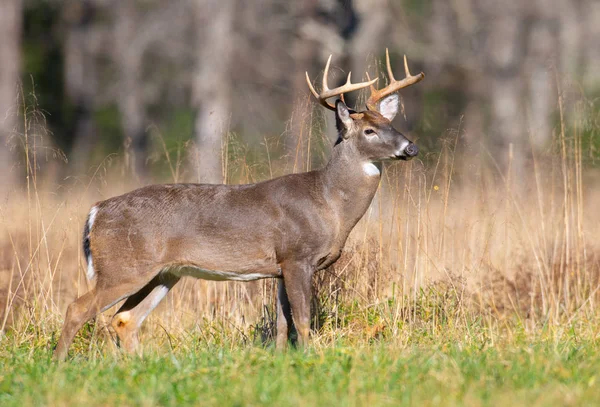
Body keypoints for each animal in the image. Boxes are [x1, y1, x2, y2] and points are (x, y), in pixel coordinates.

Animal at [54, 50, 424, 360]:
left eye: (391, 124)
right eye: (369, 131)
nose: (411, 148)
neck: (329, 203)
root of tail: (96, 212)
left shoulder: (279, 267)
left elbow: (283, 324)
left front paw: (281, 362)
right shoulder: (297, 256)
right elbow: (303, 320)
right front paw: (311, 359)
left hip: (163, 272)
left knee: (125, 319)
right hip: (124, 266)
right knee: (78, 309)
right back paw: (59, 366)